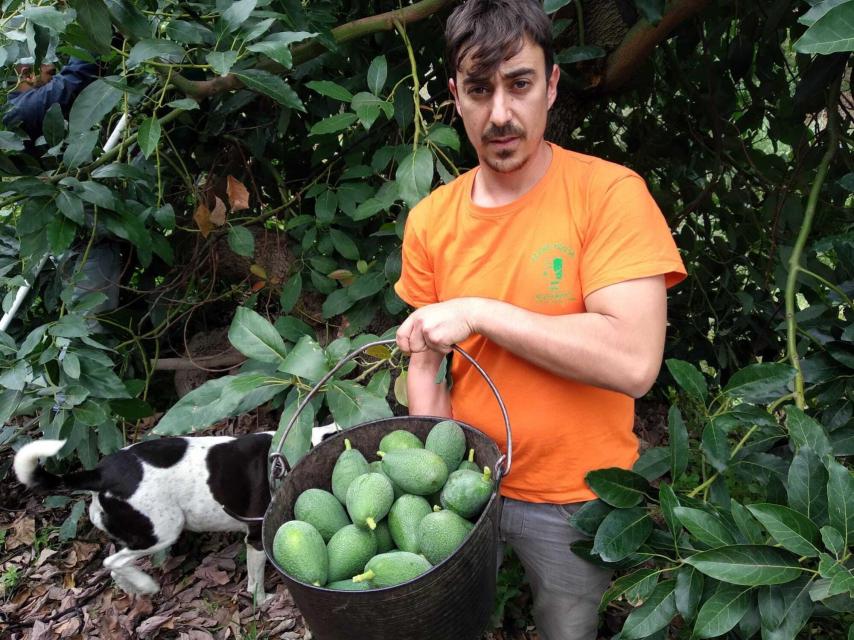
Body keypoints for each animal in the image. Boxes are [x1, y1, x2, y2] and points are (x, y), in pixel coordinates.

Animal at [13, 428, 342, 604]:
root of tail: (100, 473)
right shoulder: (257, 539)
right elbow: (255, 584)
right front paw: (263, 603)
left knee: (114, 565)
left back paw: (134, 587)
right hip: (163, 530)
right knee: (113, 561)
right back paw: (146, 585)